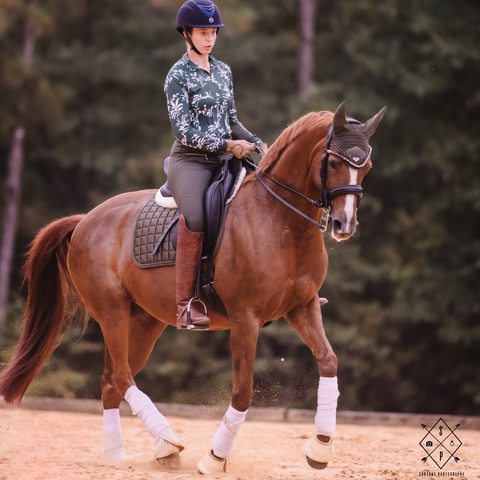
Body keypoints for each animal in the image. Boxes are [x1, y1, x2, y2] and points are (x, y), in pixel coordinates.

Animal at [0, 101, 386, 472]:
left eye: (366, 168)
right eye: (333, 162)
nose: (344, 224)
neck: (279, 220)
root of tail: (85, 220)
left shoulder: (302, 308)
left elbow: (329, 362)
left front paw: (320, 449)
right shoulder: (245, 319)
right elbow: (243, 392)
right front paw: (215, 458)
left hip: (145, 321)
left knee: (111, 380)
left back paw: (120, 456)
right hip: (111, 311)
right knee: (122, 376)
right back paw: (166, 442)